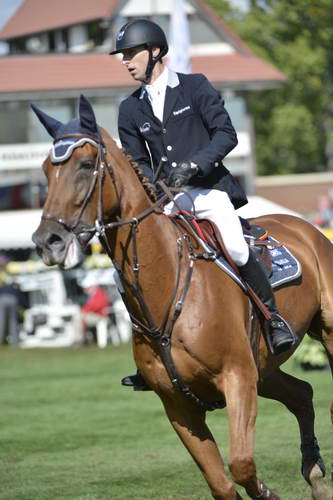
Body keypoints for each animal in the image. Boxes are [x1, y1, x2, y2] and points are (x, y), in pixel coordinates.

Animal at [31, 95, 332, 498]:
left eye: (85, 165)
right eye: (46, 171)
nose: (47, 241)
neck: (167, 287)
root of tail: (305, 227)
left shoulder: (238, 378)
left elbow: (242, 464)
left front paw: (267, 491)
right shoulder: (178, 406)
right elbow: (222, 484)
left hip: (317, 339)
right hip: (265, 368)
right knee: (302, 393)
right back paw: (314, 473)